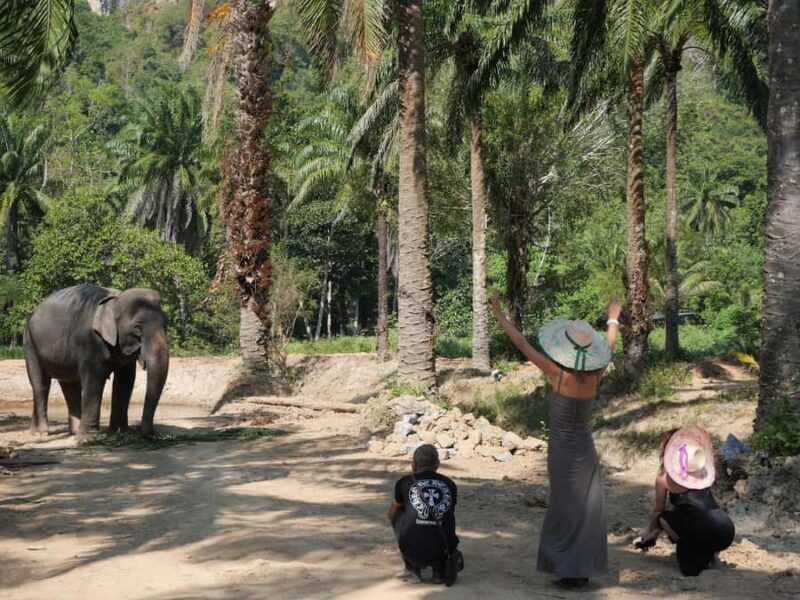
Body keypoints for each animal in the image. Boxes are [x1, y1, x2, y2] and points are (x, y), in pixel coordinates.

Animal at [23, 284, 170, 438]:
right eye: (138, 327)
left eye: (166, 324)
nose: (153, 433)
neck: (114, 300)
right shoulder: (89, 341)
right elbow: (94, 380)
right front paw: (88, 438)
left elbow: (125, 380)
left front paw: (121, 433)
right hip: (30, 343)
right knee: (41, 384)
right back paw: (40, 433)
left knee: (70, 385)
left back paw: (74, 432)